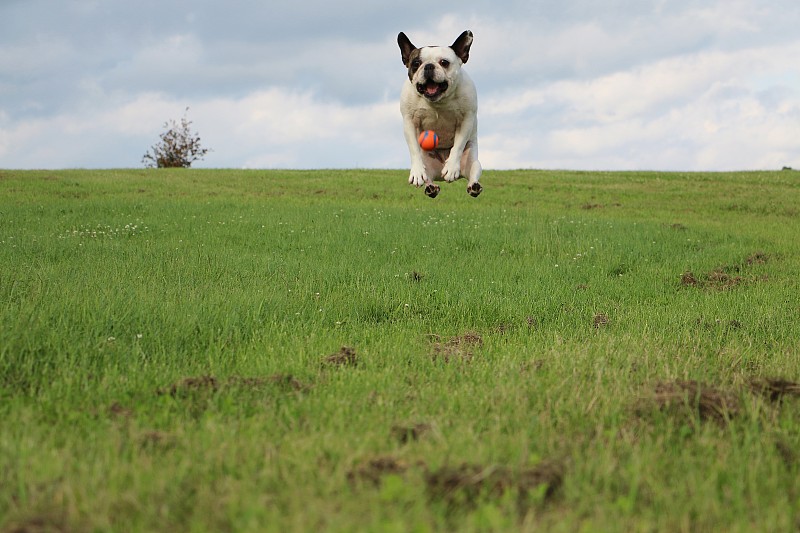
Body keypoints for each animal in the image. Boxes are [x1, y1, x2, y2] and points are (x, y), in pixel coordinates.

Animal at [398, 29, 482, 196]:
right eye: (416, 63)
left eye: (444, 62)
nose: (429, 66)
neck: (438, 101)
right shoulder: (409, 121)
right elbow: (413, 148)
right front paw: (417, 173)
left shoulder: (467, 119)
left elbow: (458, 145)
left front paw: (451, 168)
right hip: (428, 165)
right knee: (428, 176)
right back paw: (431, 188)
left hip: (473, 161)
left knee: (473, 172)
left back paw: (474, 186)